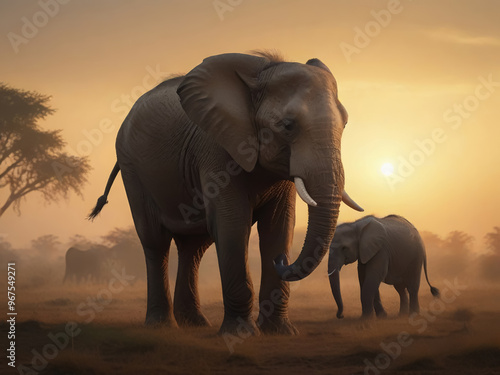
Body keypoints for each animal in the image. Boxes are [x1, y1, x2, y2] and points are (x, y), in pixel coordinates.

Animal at [90, 51, 362, 336]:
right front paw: (241, 335)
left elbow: (279, 226)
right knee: (156, 241)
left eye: (345, 124)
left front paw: (280, 332)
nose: (281, 261)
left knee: (193, 247)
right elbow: (233, 224)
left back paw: (195, 323)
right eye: (288, 125)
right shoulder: (216, 149)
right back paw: (161, 324)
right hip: (132, 166)